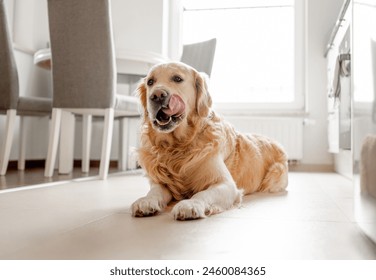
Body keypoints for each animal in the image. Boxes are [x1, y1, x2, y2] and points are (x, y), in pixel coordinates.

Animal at [130, 61, 288, 221]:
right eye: (150, 82)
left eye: (177, 79)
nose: (157, 95)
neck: (178, 146)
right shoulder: (161, 182)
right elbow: (154, 191)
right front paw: (146, 201)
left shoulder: (226, 184)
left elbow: (202, 193)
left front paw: (190, 204)